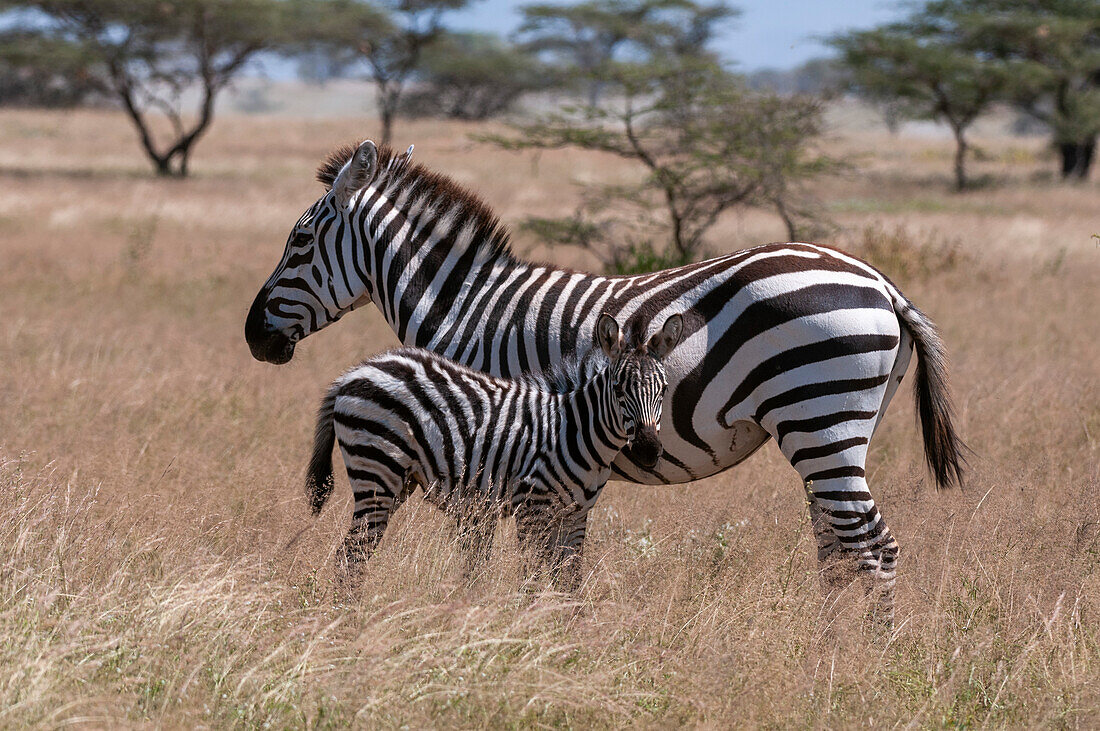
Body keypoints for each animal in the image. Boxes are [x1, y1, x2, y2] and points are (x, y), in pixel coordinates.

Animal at [301, 309, 677, 580]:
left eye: (663, 389)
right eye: (618, 388)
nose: (648, 451)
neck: (576, 430)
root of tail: (353, 373)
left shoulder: (576, 515)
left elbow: (568, 579)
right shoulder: (531, 506)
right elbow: (532, 575)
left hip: (398, 483)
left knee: (355, 553)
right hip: (377, 471)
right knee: (350, 556)